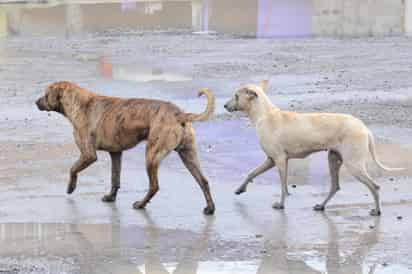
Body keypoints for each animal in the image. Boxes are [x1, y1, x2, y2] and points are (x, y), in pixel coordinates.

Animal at [36, 81, 216, 214]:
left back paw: (141, 204)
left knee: (154, 186)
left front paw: (70, 187)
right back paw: (210, 208)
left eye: (46, 94)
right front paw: (111, 197)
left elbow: (73, 169)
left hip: (152, 155)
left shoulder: (88, 154)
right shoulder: (116, 153)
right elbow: (115, 179)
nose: (35, 102)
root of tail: (180, 114)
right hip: (188, 155)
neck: (79, 103)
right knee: (203, 181)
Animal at [225, 80, 402, 215]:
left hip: (353, 165)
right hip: (334, 159)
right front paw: (240, 189)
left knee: (374, 186)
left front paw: (281, 204)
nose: (225, 106)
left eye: (236, 96)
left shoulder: (279, 160)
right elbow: (251, 173)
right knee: (335, 186)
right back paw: (321, 206)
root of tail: (364, 128)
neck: (264, 114)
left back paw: (377, 211)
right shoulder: (271, 160)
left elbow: (282, 186)